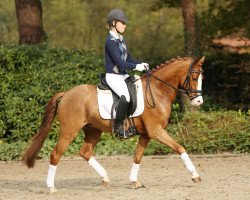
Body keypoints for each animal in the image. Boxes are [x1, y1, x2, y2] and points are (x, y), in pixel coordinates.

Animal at [21, 55, 205, 192]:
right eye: (194, 77)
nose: (199, 102)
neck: (157, 91)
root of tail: (67, 93)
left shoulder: (146, 134)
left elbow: (137, 156)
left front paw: (134, 181)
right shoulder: (156, 131)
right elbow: (180, 148)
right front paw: (195, 176)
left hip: (93, 130)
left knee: (85, 152)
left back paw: (105, 178)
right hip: (69, 131)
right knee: (55, 155)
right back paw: (51, 187)